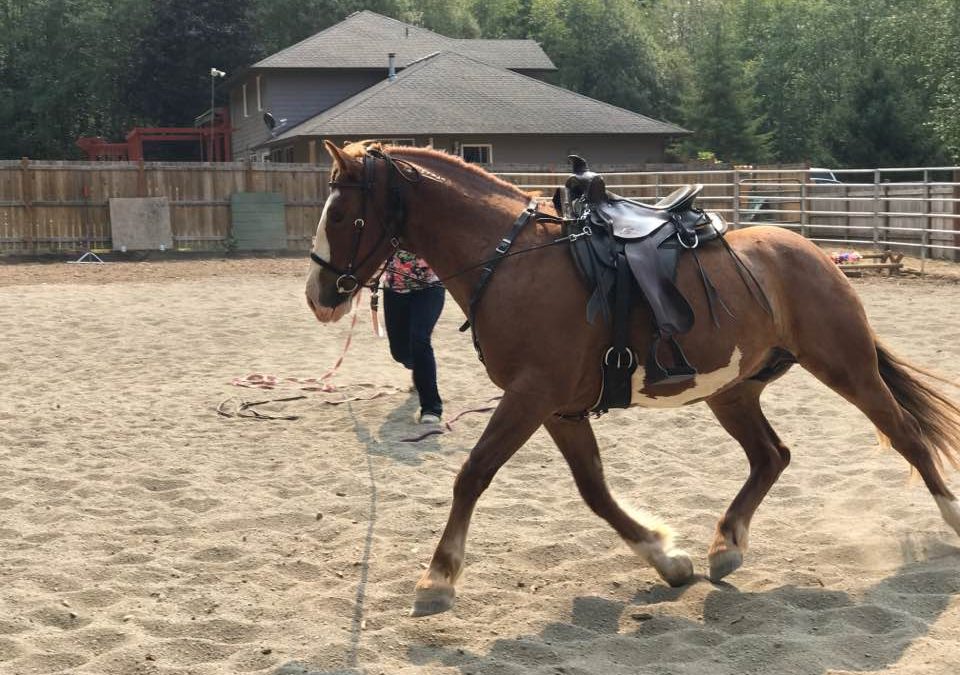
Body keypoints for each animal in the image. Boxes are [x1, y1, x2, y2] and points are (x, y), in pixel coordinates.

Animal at [306, 143, 960, 616]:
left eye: (340, 213)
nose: (318, 296)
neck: (512, 261)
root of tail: (815, 253)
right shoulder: (556, 409)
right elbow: (594, 490)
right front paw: (666, 559)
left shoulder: (530, 397)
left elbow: (473, 474)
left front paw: (437, 579)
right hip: (734, 391)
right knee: (771, 456)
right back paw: (726, 545)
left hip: (847, 367)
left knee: (904, 435)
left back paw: (951, 518)